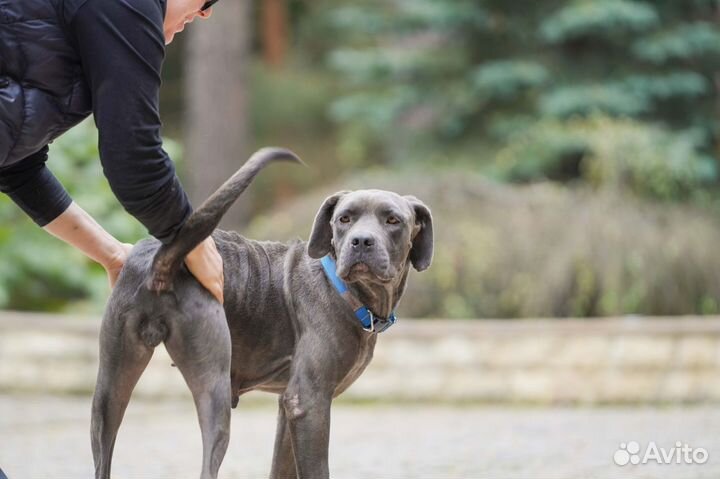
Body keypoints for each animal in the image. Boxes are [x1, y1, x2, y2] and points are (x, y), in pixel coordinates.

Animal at [93, 148, 436, 478]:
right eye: (344, 219)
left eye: (393, 221)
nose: (361, 241)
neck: (346, 290)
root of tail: (162, 262)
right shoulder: (309, 402)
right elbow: (316, 470)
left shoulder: (289, 407)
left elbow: (280, 468)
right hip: (214, 390)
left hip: (109, 392)